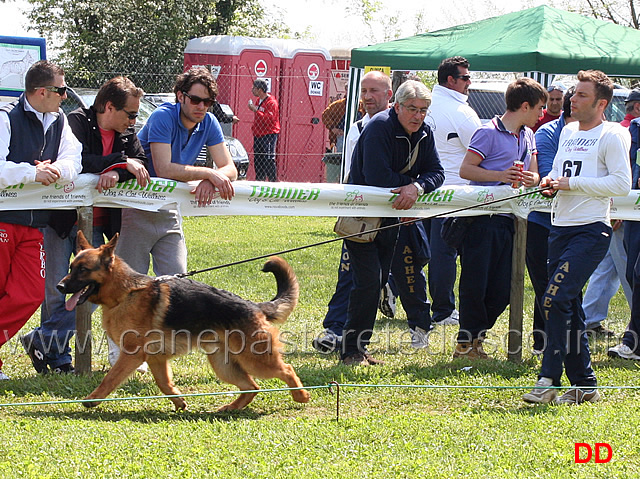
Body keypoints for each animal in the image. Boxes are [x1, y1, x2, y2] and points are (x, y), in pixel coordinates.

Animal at [56, 232, 312, 412]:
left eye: (83, 270)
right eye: (71, 268)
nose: (59, 286)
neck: (126, 293)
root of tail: (254, 306)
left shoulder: (131, 355)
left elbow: (110, 379)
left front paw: (92, 400)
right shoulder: (156, 360)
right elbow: (165, 385)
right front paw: (180, 403)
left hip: (256, 360)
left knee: (287, 370)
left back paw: (301, 395)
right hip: (224, 365)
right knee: (252, 387)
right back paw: (232, 407)